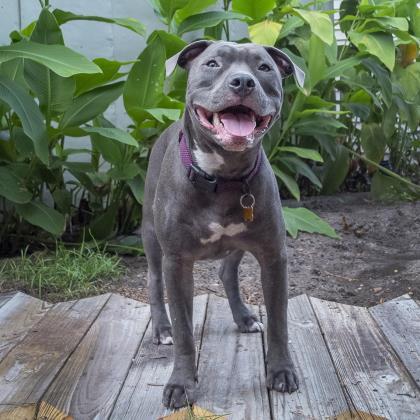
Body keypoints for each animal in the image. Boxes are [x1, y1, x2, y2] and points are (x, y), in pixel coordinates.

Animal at [142, 41, 306, 408]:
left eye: (264, 68)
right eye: (213, 64)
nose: (243, 81)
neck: (223, 176)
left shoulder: (274, 256)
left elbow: (279, 322)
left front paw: (282, 371)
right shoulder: (177, 262)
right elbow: (185, 331)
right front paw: (181, 382)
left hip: (239, 243)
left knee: (227, 272)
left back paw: (243, 316)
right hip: (152, 238)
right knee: (155, 281)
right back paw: (161, 328)